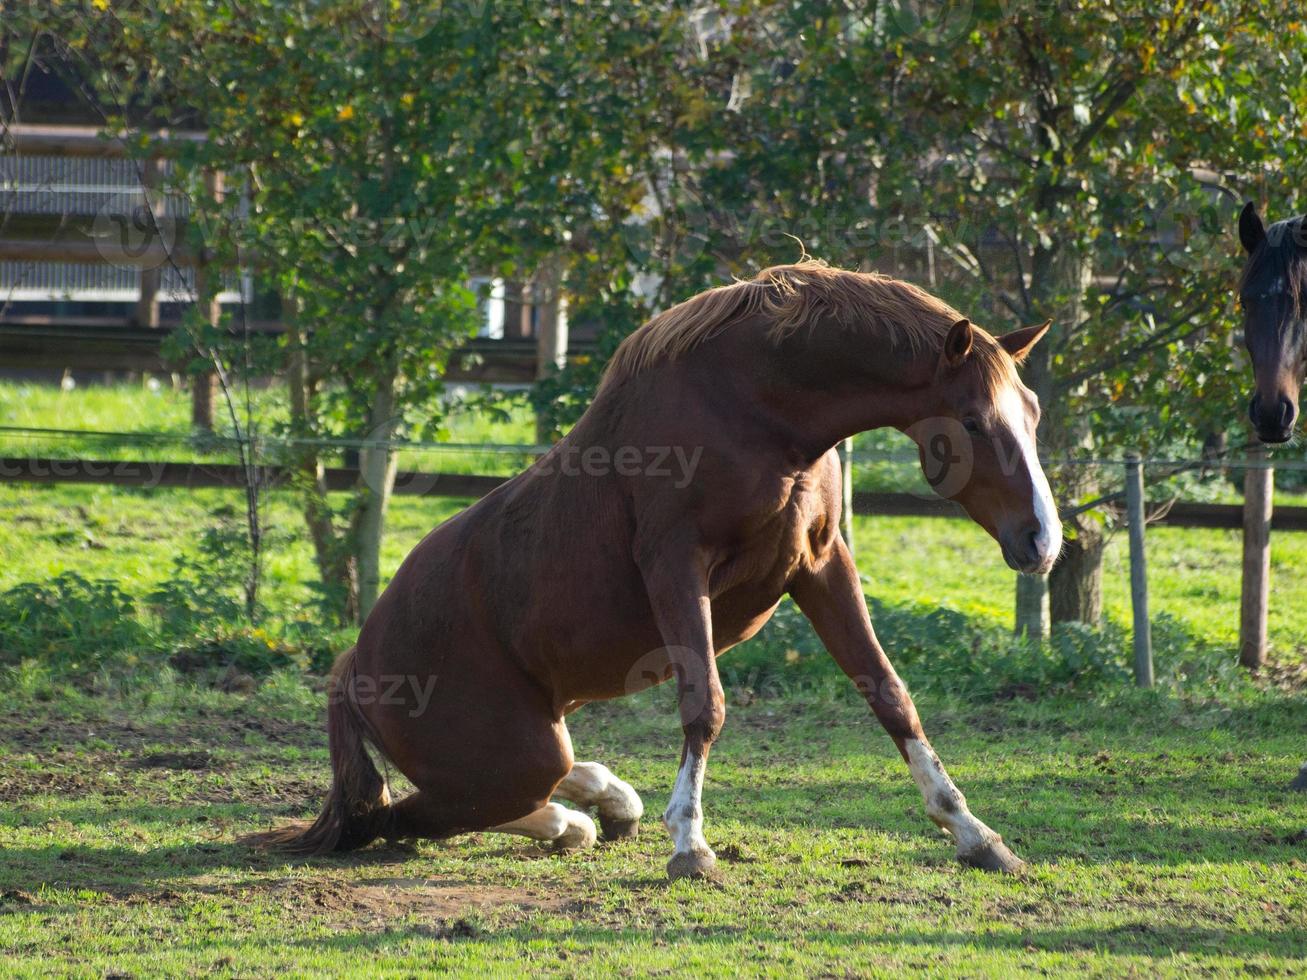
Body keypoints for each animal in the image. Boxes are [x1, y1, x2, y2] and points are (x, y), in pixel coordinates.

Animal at [254, 262, 1061, 883]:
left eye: (1031, 412)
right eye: (973, 422)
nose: (1042, 540)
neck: (755, 409)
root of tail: (356, 667)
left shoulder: (820, 564)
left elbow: (890, 696)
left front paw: (975, 834)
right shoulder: (677, 564)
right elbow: (705, 705)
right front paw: (690, 846)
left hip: (531, 740)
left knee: (493, 790)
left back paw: (603, 802)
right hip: (513, 758)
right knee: (399, 817)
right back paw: (580, 816)